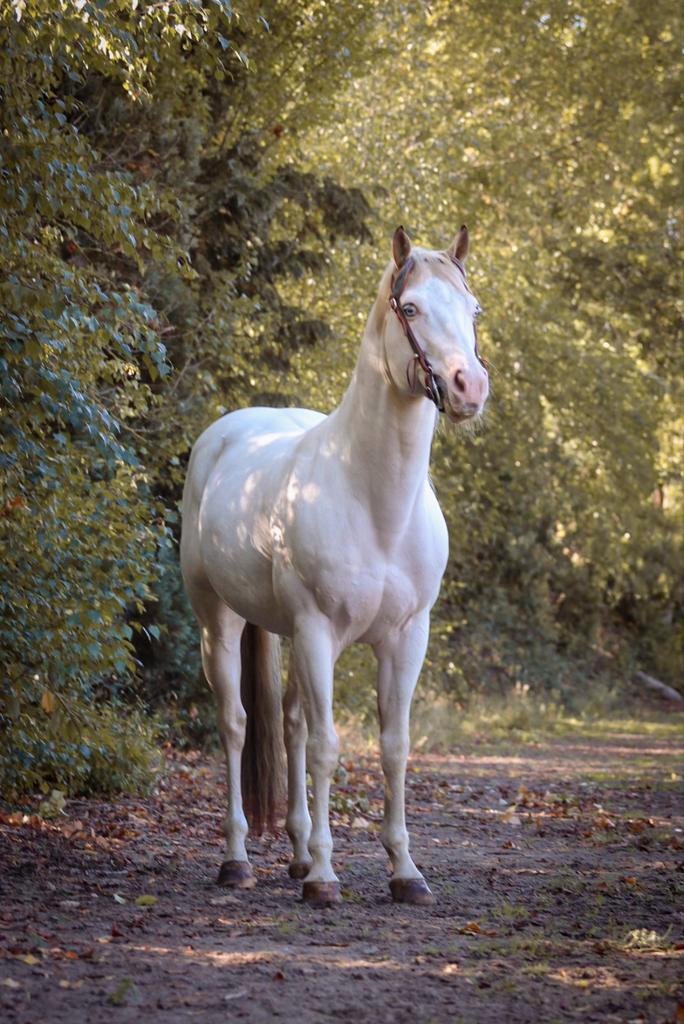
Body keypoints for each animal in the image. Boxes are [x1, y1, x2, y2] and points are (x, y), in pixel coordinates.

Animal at [180, 225, 489, 907]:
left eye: (474, 309)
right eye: (410, 309)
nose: (469, 388)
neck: (375, 503)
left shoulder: (406, 639)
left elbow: (394, 747)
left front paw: (405, 872)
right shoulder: (319, 631)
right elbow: (327, 747)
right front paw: (326, 877)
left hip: (289, 637)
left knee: (291, 724)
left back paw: (296, 854)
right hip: (220, 621)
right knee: (237, 725)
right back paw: (239, 860)